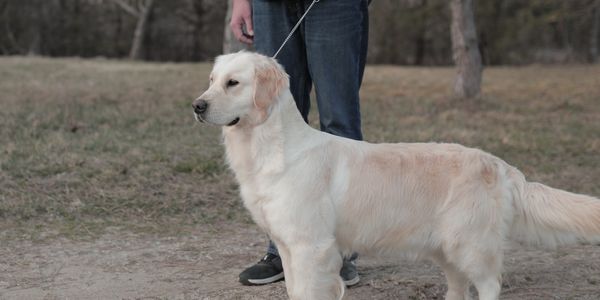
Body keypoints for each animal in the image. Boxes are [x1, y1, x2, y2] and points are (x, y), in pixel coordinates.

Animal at [192, 52, 600, 300]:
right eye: (211, 79)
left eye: (233, 83)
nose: (197, 105)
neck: (272, 147)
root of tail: (499, 164)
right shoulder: (289, 247)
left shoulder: (311, 247)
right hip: (447, 246)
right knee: (459, 286)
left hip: (470, 243)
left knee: (488, 284)